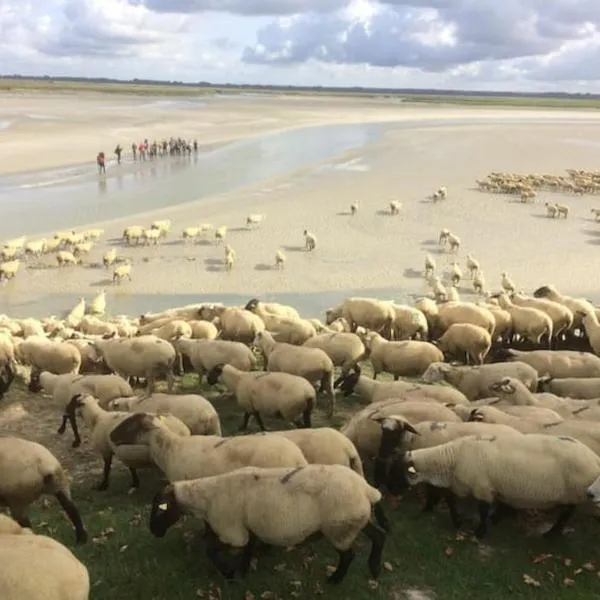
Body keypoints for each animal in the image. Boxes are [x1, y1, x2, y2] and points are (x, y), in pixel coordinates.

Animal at [400, 432, 600, 540]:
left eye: (397, 469)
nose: (423, 510)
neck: (452, 459)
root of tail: (594, 457)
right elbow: (451, 499)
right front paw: (459, 521)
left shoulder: (482, 488)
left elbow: (482, 510)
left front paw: (479, 533)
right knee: (568, 511)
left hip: (575, 491)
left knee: (567, 512)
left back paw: (551, 533)